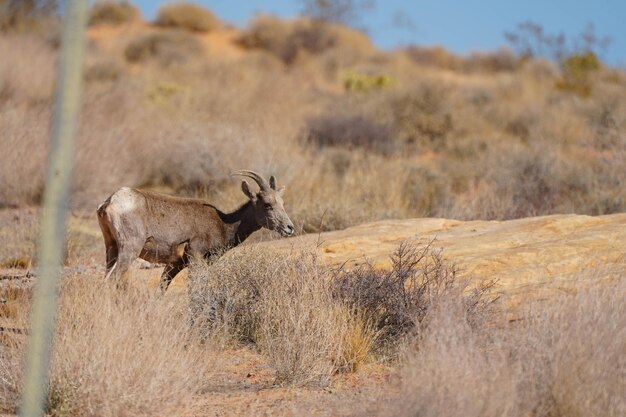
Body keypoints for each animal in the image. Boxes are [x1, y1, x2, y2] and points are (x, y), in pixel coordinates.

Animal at [95, 171, 294, 290]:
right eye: (267, 204)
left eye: (282, 203)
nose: (289, 228)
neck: (223, 224)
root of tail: (109, 202)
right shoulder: (196, 258)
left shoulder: (174, 265)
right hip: (129, 250)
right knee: (111, 280)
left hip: (111, 248)